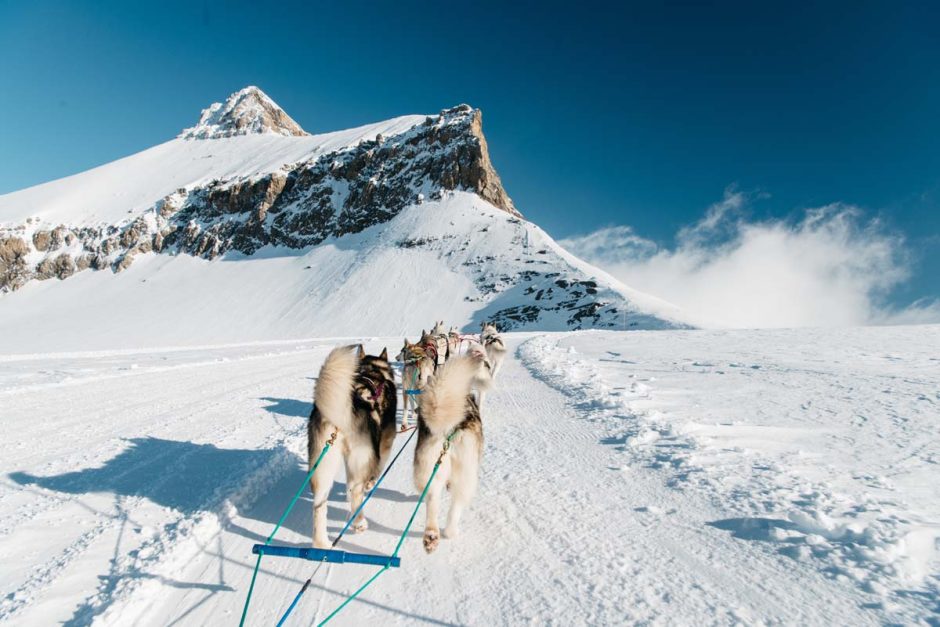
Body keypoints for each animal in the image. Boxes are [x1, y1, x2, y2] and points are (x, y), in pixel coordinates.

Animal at [308, 346, 396, 548]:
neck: (373, 369)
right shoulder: (385, 444)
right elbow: (378, 467)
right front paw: (371, 482)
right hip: (360, 457)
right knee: (356, 490)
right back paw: (359, 522)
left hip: (324, 465)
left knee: (319, 504)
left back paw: (321, 542)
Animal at [414, 354, 484, 556]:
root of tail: (451, 429)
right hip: (466, 475)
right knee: (456, 506)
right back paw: (450, 532)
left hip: (430, 468)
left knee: (432, 500)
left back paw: (431, 535)